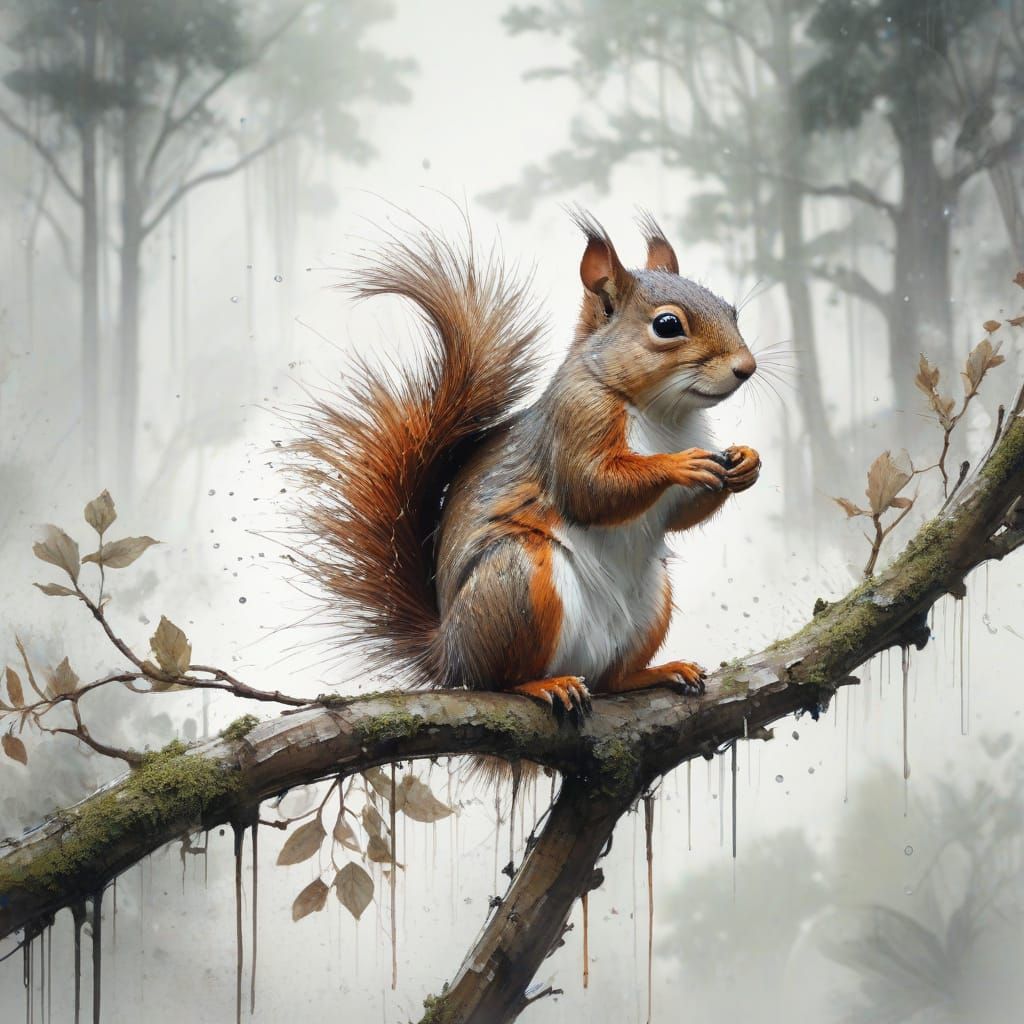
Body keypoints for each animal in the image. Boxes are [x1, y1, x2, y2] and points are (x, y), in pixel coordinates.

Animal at [295, 210, 760, 714]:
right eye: (668, 325)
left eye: (731, 310)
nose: (747, 367)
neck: (662, 413)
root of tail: (449, 653)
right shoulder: (575, 423)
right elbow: (591, 489)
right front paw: (678, 465)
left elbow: (677, 516)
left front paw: (747, 462)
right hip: (517, 584)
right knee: (497, 679)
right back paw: (541, 685)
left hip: (651, 603)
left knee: (612, 679)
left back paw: (655, 672)